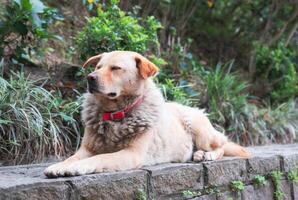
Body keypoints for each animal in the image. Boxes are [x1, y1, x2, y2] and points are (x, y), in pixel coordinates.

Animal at [43, 50, 249, 177]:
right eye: (98, 67)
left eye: (115, 68)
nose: (90, 78)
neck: (115, 113)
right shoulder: (86, 149)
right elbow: (72, 157)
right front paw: (60, 166)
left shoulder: (131, 153)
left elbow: (100, 158)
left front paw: (77, 168)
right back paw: (198, 154)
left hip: (199, 129)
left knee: (222, 146)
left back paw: (206, 155)